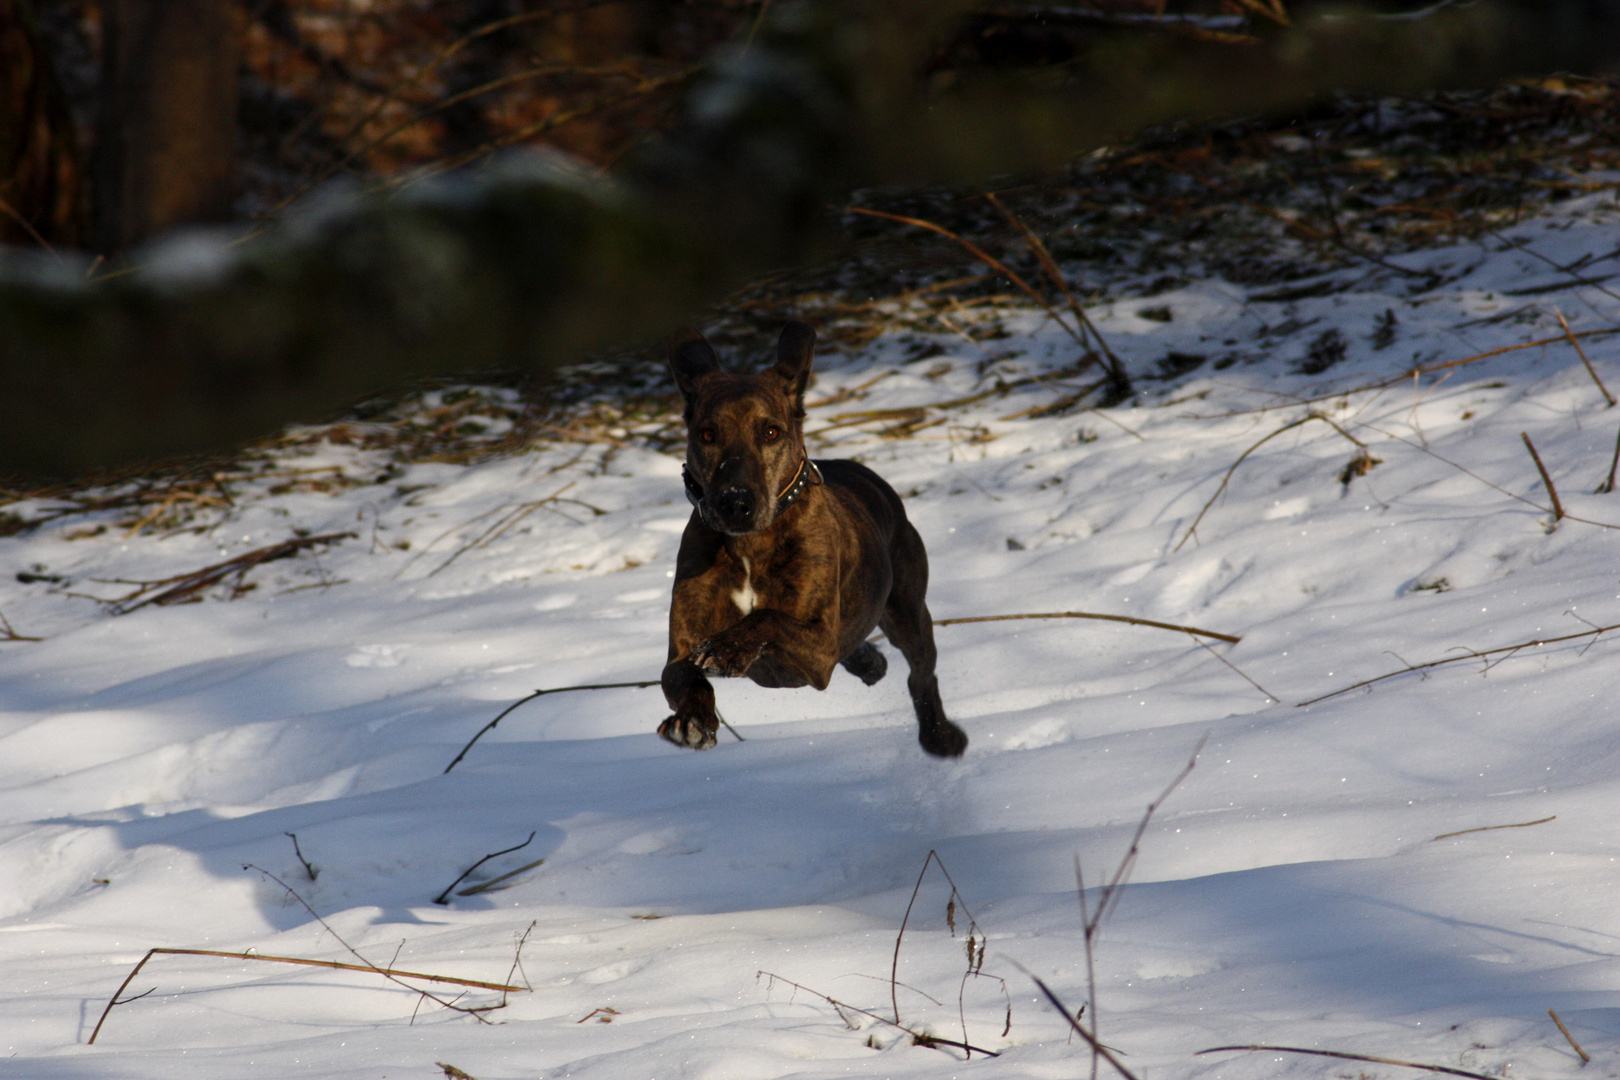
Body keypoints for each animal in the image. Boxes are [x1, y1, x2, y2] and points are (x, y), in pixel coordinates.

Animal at [654, 323, 965, 761]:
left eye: (771, 432)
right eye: (707, 434)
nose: (735, 503)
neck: (750, 544)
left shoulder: (819, 652)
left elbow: (769, 617)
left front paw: (729, 647)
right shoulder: (683, 644)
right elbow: (683, 673)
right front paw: (692, 722)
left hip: (907, 607)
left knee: (921, 672)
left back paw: (940, 736)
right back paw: (870, 663)